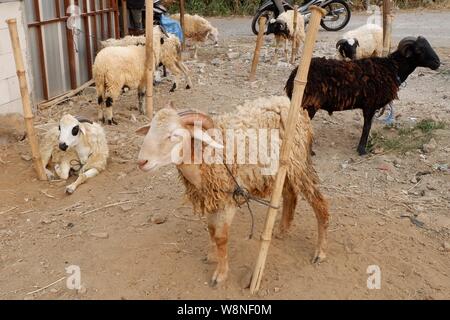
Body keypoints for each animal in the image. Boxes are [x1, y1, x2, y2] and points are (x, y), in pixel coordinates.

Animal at [135, 96, 328, 286]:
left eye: (174, 135)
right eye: (150, 130)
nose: (142, 162)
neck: (206, 156)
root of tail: (289, 103)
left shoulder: (229, 200)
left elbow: (221, 237)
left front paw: (220, 274)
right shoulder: (212, 197)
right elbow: (211, 230)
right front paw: (212, 256)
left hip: (298, 163)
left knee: (319, 202)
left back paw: (320, 252)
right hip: (283, 171)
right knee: (290, 195)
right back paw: (282, 231)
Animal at [286, 36, 442, 155]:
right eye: (419, 50)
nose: (437, 62)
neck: (391, 68)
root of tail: (292, 77)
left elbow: (369, 126)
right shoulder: (370, 104)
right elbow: (367, 126)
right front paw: (362, 149)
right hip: (309, 104)